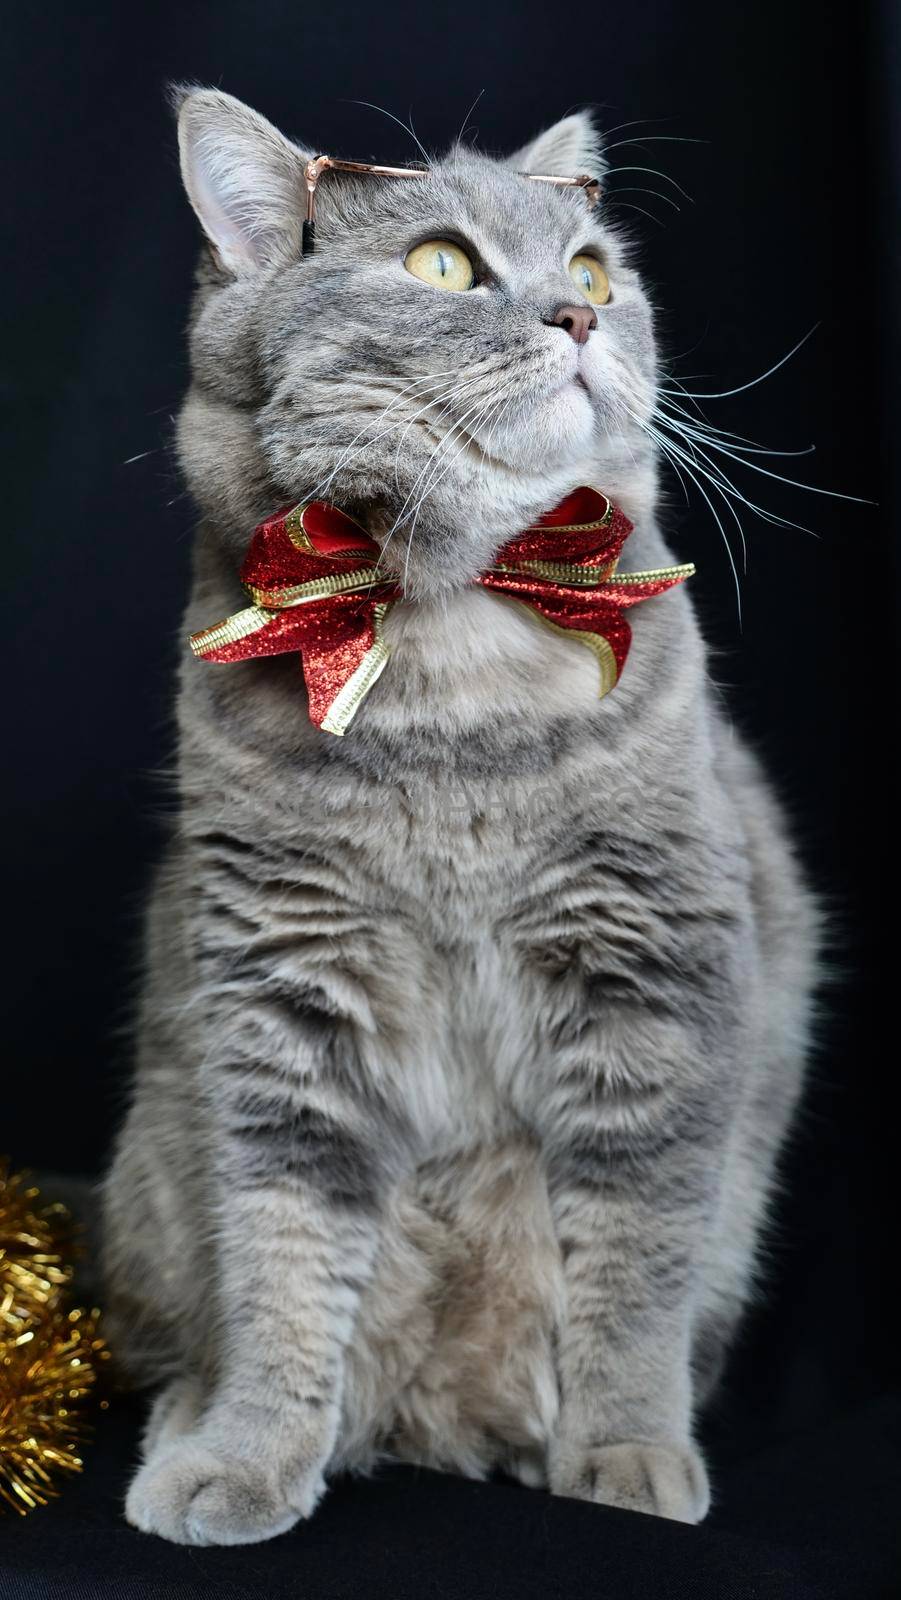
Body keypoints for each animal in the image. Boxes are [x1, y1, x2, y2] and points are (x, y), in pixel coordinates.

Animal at [102, 84, 819, 1536]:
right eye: (442, 266)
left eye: (593, 273)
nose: (578, 318)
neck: (455, 688)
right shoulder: (283, 990)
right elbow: (279, 1257)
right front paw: (248, 1453)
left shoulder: (659, 976)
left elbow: (638, 1255)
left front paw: (626, 1450)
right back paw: (191, 1421)